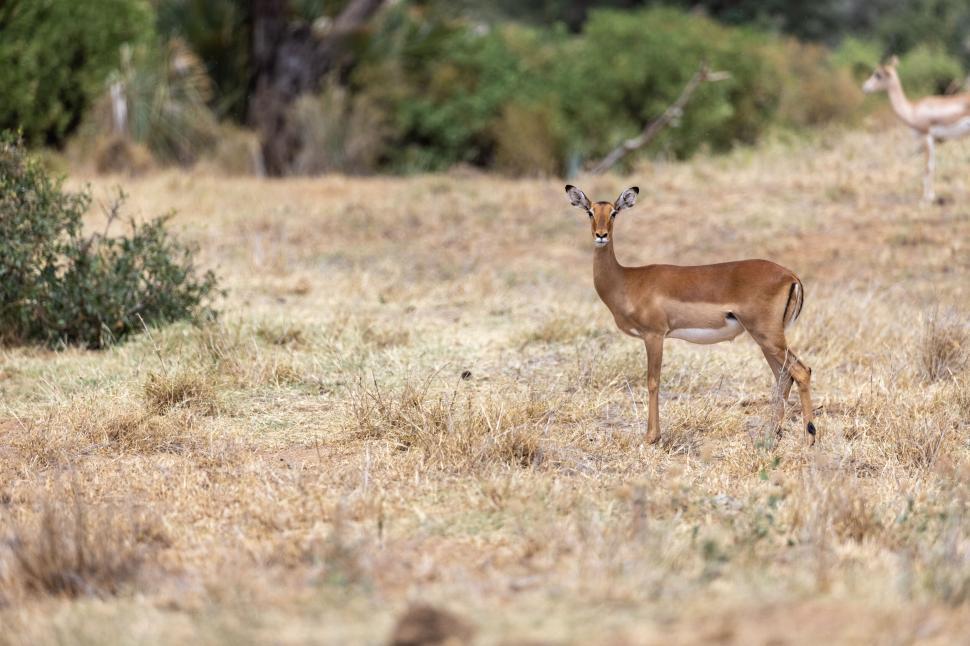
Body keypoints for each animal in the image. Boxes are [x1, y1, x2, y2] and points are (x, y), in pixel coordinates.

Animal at [564, 185, 816, 445]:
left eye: (614, 212)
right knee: (784, 376)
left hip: (768, 337)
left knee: (801, 371)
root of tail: (791, 276)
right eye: (590, 212)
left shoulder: (654, 335)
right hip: (766, 340)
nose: (601, 235)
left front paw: (651, 437)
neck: (626, 281)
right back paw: (770, 436)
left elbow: (653, 381)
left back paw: (809, 438)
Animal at [863, 55, 970, 202]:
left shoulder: (926, 137)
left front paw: (927, 198)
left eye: (878, 74)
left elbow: (928, 167)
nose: (865, 87)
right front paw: (930, 196)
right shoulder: (934, 140)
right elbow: (931, 166)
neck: (912, 111)